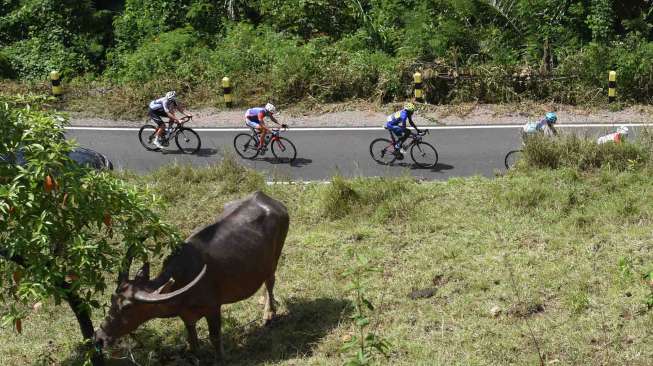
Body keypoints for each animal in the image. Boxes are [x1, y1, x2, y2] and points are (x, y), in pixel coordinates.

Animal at [94, 192, 288, 360]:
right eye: (112, 299)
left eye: (127, 307)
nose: (99, 338)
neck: (182, 282)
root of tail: (267, 198)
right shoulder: (186, 316)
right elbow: (193, 342)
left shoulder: (213, 308)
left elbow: (215, 338)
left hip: (274, 258)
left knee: (270, 281)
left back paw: (268, 314)